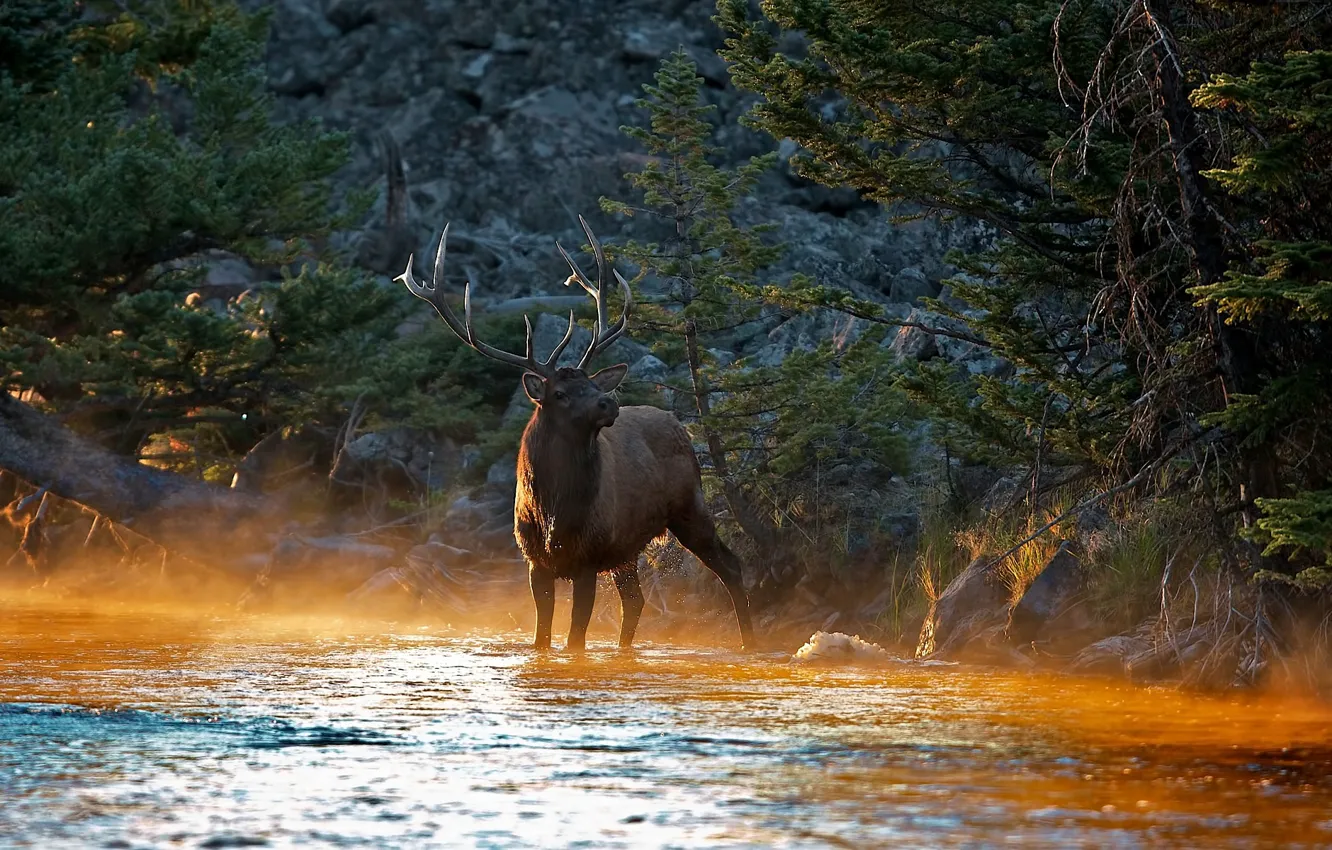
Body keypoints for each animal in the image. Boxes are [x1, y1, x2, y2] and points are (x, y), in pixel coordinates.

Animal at [397, 216, 755, 652]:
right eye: (561, 393)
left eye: (592, 383)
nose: (608, 402)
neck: (554, 511)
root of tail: (679, 426)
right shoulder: (535, 561)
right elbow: (542, 638)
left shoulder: (588, 558)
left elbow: (575, 640)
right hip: (626, 547)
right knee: (635, 600)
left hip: (690, 505)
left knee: (731, 566)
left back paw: (750, 643)